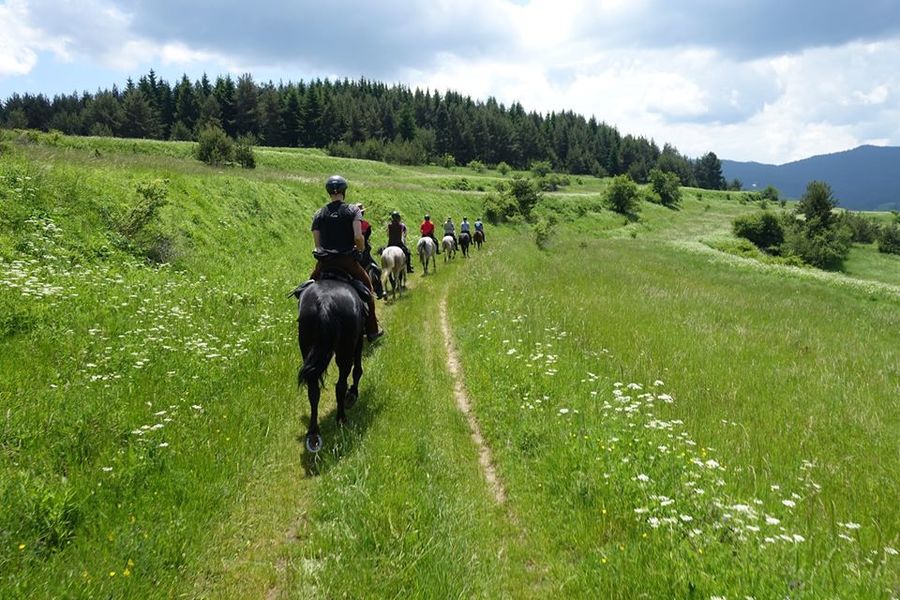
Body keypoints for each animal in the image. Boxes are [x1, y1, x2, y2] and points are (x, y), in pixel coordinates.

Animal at [296, 278, 366, 452]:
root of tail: (325, 302)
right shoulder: (359, 341)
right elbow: (358, 370)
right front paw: (353, 394)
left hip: (306, 347)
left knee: (313, 392)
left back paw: (313, 433)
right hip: (346, 351)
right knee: (341, 385)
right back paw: (341, 418)